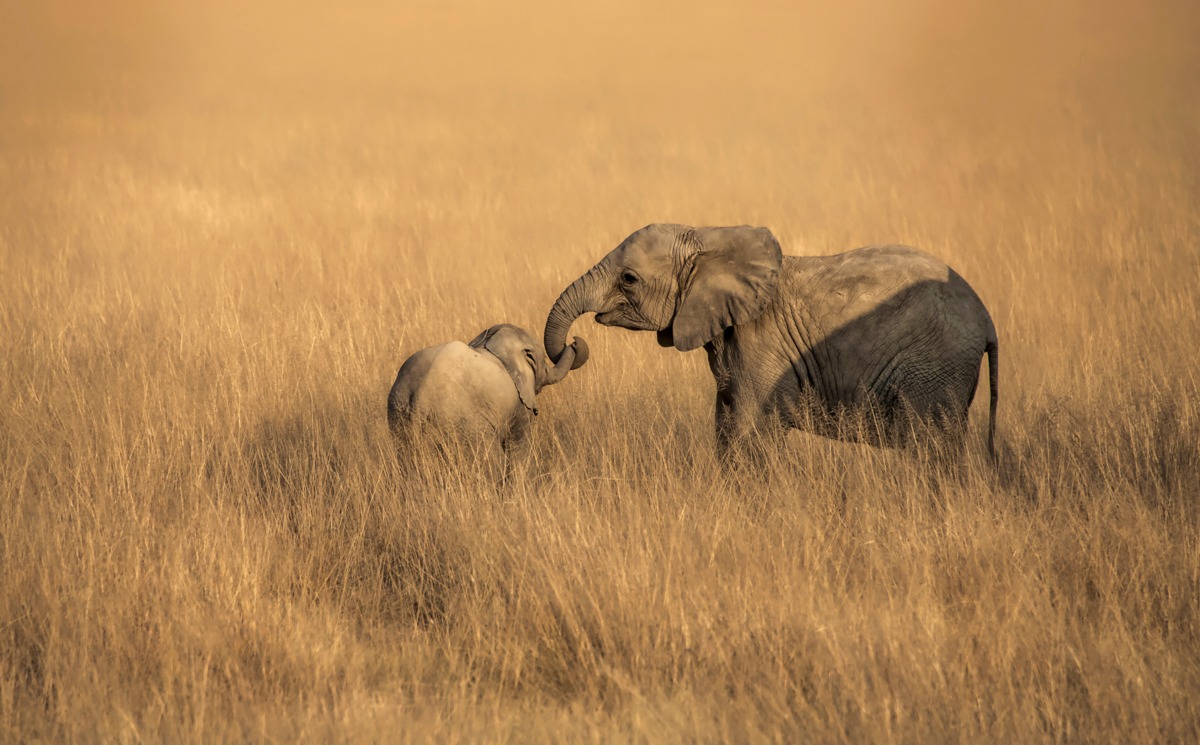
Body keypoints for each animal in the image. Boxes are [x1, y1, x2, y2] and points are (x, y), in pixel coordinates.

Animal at [386, 323, 588, 453]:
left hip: (398, 412)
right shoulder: (520, 406)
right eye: (543, 360)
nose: (574, 341)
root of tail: (421, 396)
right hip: (465, 425)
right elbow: (519, 447)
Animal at [542, 223, 993, 463]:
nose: (575, 344)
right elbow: (726, 422)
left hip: (934, 366)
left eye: (629, 279)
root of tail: (987, 319)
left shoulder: (763, 343)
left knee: (928, 446)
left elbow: (748, 429)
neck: (707, 239)